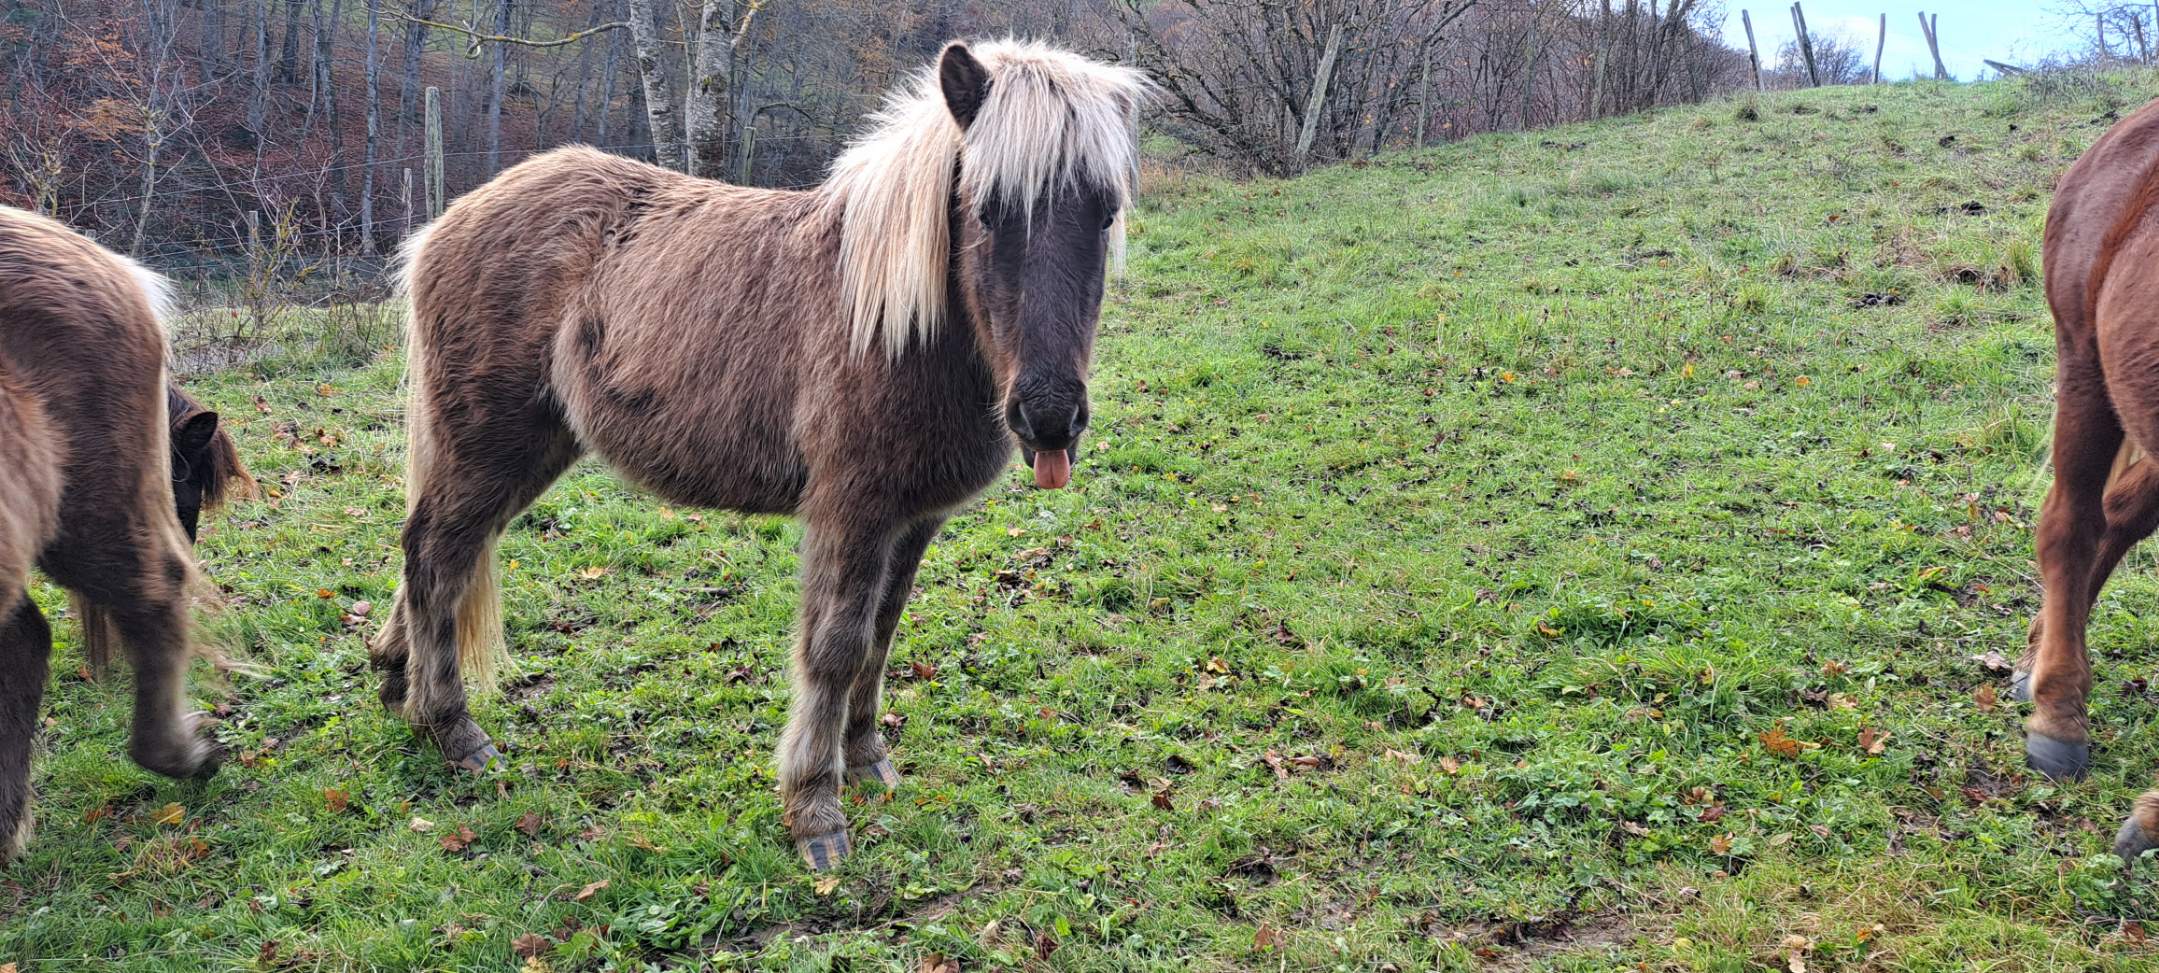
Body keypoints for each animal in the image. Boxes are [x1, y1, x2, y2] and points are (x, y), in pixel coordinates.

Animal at [371, 41, 1148, 871]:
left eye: (1104, 211)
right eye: (986, 209)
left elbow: (881, 635)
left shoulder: (912, 520)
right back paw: (452, 728)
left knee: (447, 551)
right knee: (435, 552)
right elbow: (836, 648)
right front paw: (815, 810)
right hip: (490, 445)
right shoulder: (851, 512)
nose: (1049, 416)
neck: (889, 324)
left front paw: (867, 758)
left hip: (530, 449)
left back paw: (395, 679)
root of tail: (444, 225)